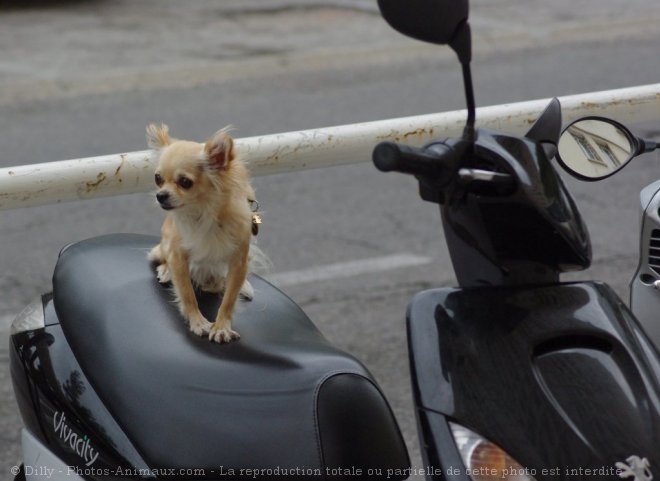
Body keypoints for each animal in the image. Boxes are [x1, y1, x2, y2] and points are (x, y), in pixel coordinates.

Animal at [147, 124, 258, 342]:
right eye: (158, 179)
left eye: (185, 182)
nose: (160, 195)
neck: (203, 214)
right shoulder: (178, 256)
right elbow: (187, 294)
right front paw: (198, 322)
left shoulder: (239, 261)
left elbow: (229, 298)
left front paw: (221, 326)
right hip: (163, 246)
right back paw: (166, 271)